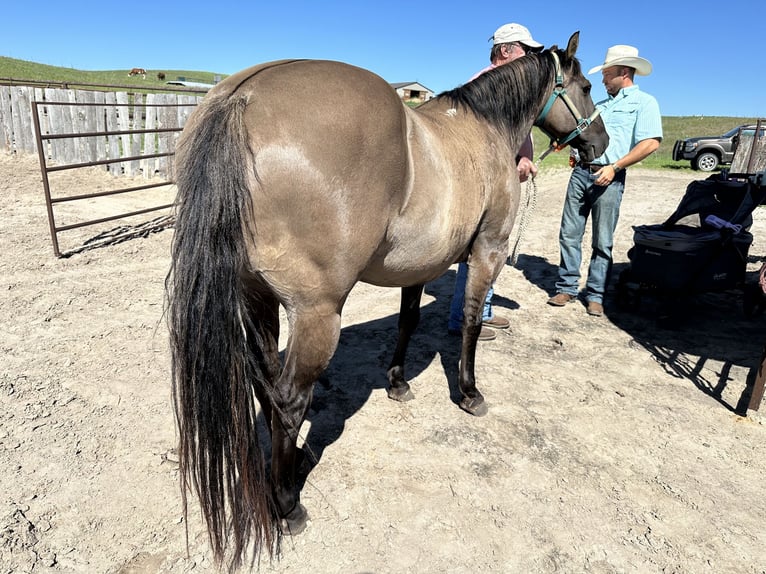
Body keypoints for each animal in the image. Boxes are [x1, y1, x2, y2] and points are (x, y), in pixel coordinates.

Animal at [166, 33, 608, 572]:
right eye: (586, 87)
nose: (601, 144)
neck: (484, 129)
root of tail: (242, 98)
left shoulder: (417, 266)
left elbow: (408, 322)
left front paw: (398, 383)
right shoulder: (488, 251)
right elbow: (468, 323)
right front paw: (469, 393)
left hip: (256, 298)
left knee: (265, 384)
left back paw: (288, 465)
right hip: (317, 314)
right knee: (290, 398)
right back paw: (287, 504)